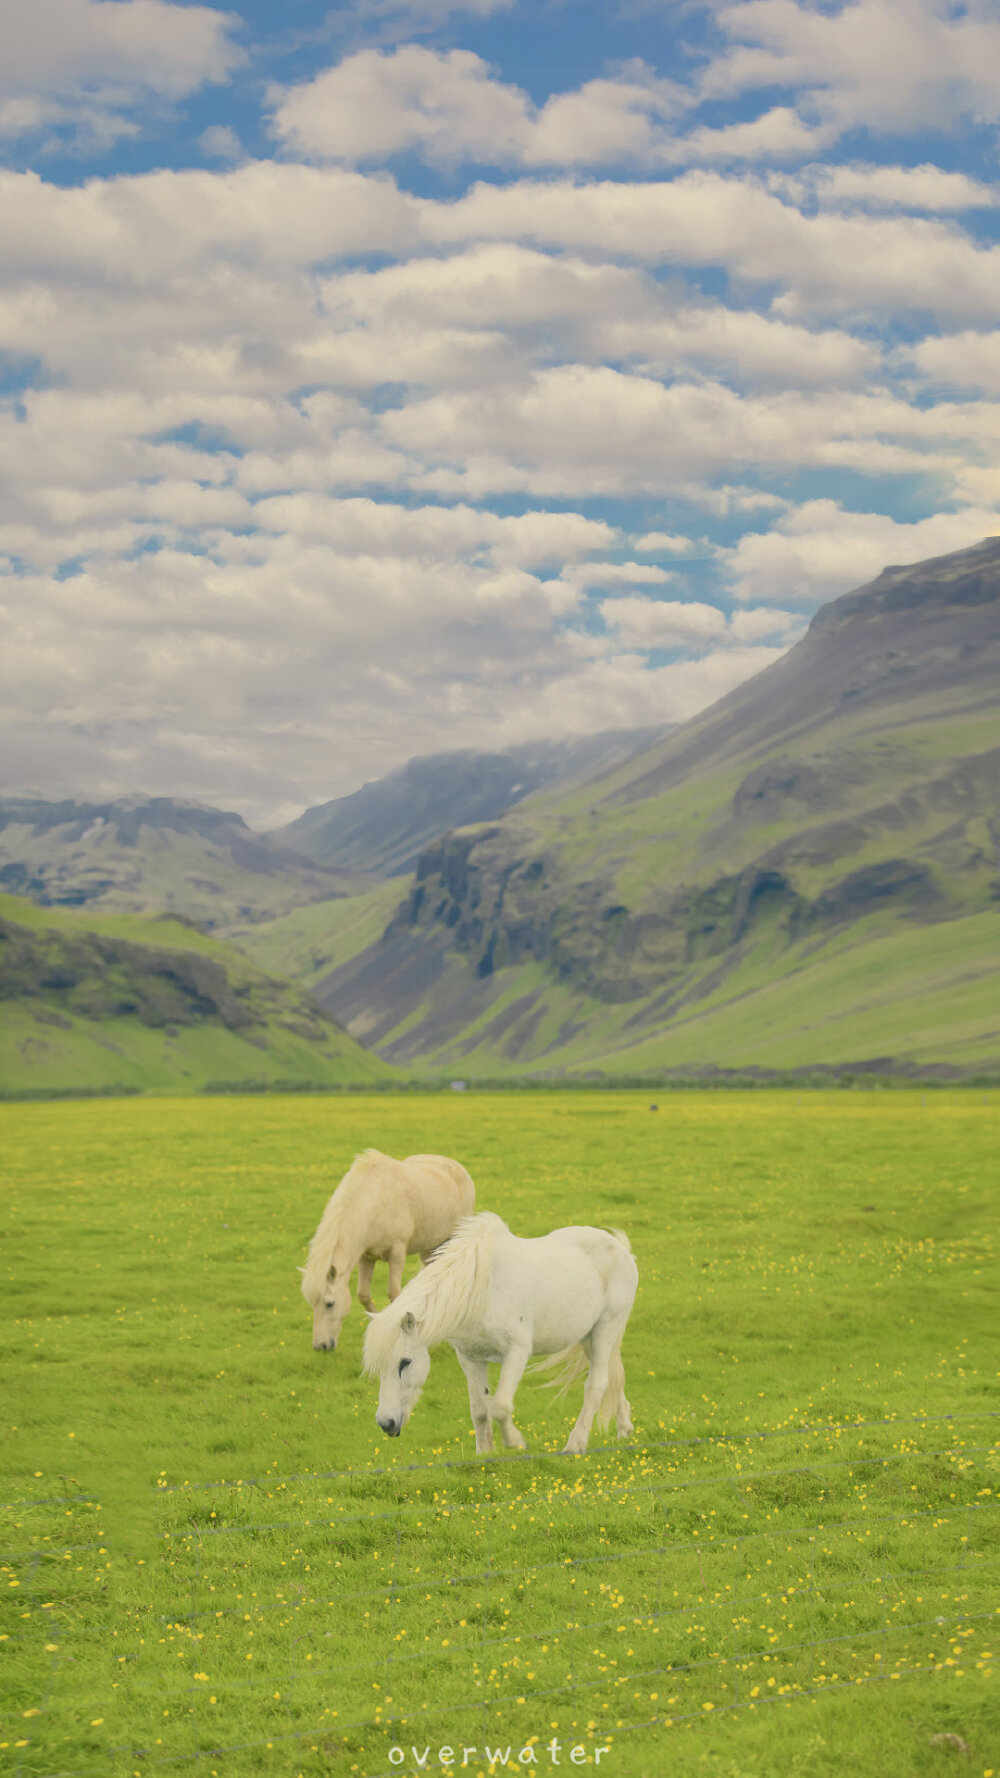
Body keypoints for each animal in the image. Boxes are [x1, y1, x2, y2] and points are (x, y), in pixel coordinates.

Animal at [297, 1152, 473, 1344]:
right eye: (312, 1303)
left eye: (329, 1304)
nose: (321, 1346)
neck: (375, 1201)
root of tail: (456, 1166)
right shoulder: (366, 1257)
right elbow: (364, 1294)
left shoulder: (397, 1254)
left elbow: (394, 1295)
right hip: (429, 1248)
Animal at [361, 1209, 633, 1457]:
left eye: (405, 1362)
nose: (386, 1423)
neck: (483, 1291)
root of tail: (622, 1249)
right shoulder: (470, 1359)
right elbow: (480, 1410)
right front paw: (485, 1453)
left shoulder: (516, 1353)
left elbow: (500, 1406)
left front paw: (516, 1442)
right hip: (588, 1339)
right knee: (611, 1379)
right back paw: (625, 1430)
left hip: (605, 1330)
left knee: (596, 1385)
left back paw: (575, 1444)